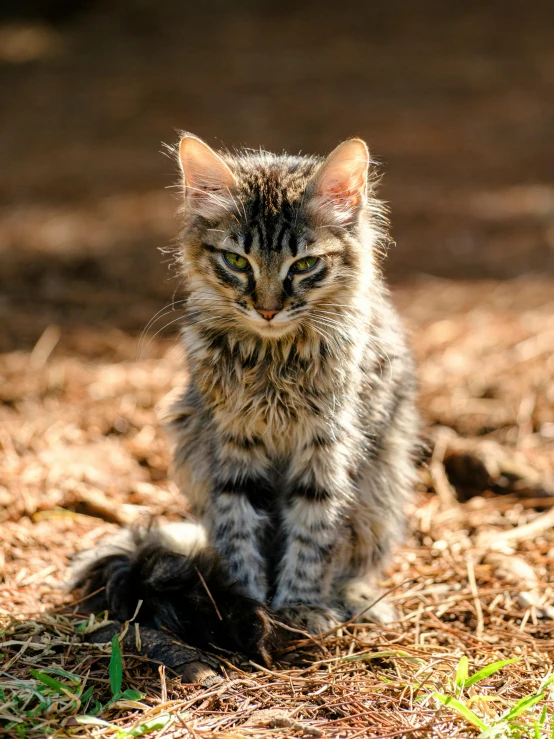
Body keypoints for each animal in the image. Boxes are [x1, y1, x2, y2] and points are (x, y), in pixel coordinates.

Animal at [73, 132, 418, 660]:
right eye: (237, 262)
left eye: (305, 265)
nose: (268, 309)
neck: (273, 358)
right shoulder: (232, 444)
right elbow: (239, 534)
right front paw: (246, 603)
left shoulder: (328, 447)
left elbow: (314, 533)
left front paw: (299, 607)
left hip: (384, 484)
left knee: (354, 560)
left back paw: (357, 600)